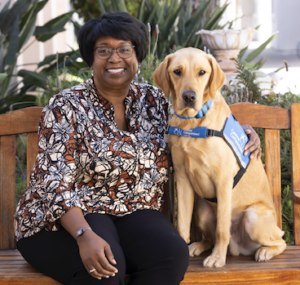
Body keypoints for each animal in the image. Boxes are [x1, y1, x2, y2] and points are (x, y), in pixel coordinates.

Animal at [154, 47, 288, 268]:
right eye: (177, 71)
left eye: (202, 72)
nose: (189, 96)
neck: (193, 122)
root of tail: (238, 248)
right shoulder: (182, 178)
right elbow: (182, 224)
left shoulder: (223, 180)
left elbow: (222, 229)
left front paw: (217, 257)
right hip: (202, 209)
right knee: (209, 237)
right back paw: (199, 246)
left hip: (252, 217)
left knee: (281, 240)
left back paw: (264, 252)